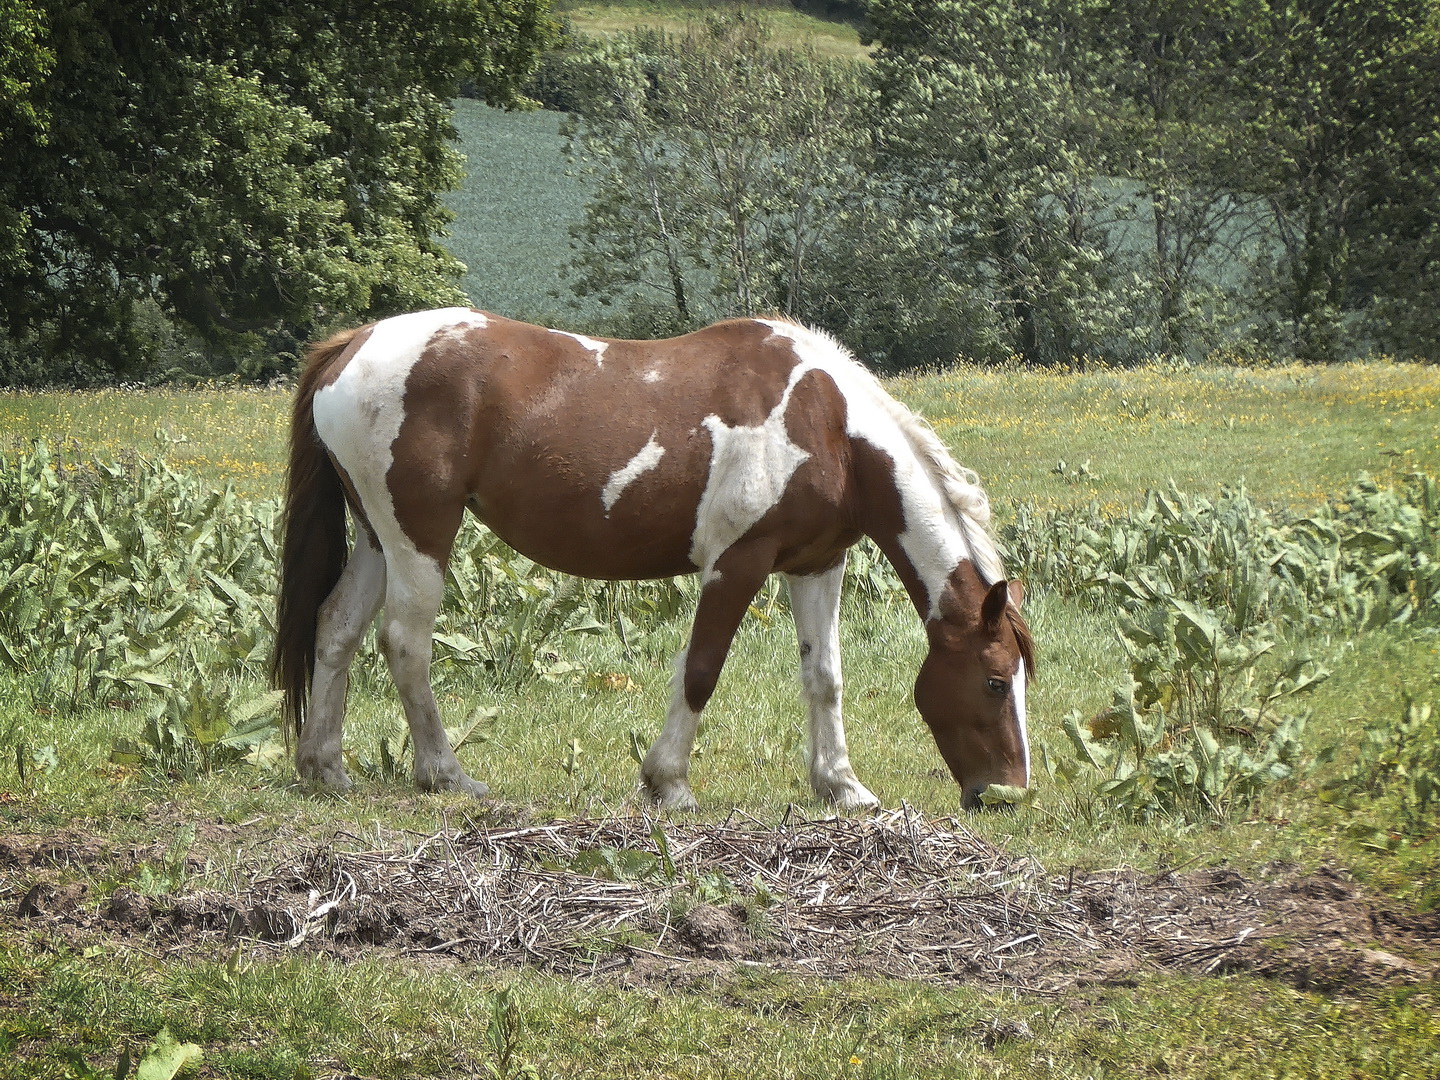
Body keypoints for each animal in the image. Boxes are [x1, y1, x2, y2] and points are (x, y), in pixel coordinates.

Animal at [272, 308, 1034, 810]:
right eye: (995, 681)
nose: (1007, 794)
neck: (831, 428)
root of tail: (354, 344)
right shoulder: (736, 563)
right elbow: (701, 671)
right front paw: (667, 782)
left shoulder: (816, 565)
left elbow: (824, 677)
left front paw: (842, 787)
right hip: (419, 536)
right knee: (406, 642)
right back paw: (445, 774)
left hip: (377, 537)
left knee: (336, 630)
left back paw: (325, 767)